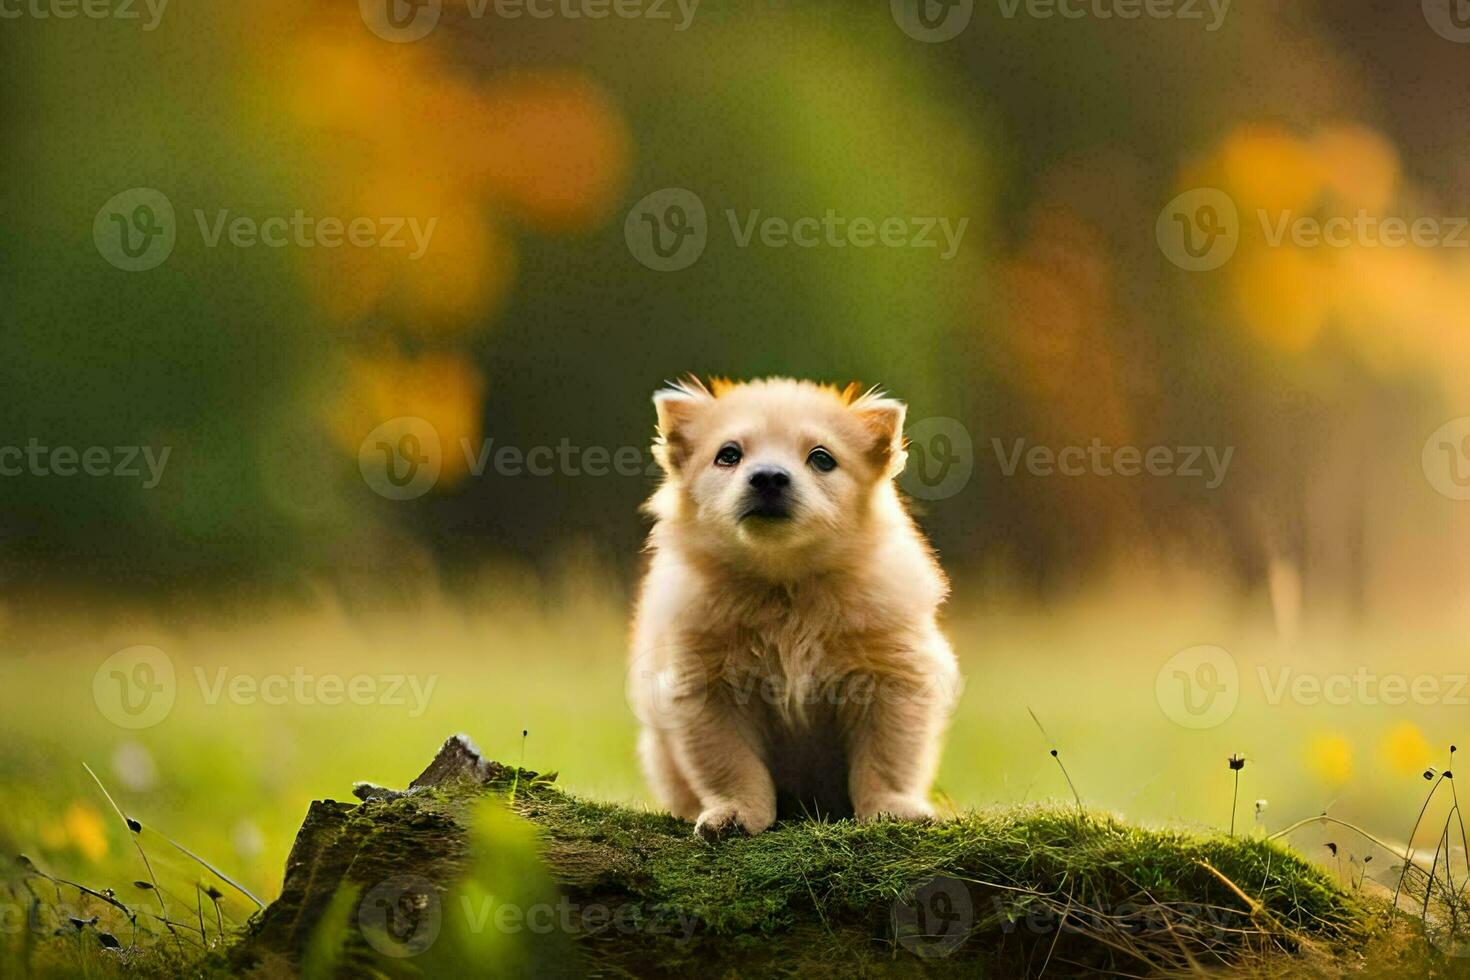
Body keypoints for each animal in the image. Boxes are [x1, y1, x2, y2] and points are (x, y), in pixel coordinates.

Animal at [629, 379, 952, 840]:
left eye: (822, 458)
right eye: (728, 455)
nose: (768, 477)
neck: (786, 589)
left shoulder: (892, 679)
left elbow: (886, 760)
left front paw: (892, 809)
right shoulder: (707, 690)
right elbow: (732, 765)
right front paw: (735, 813)